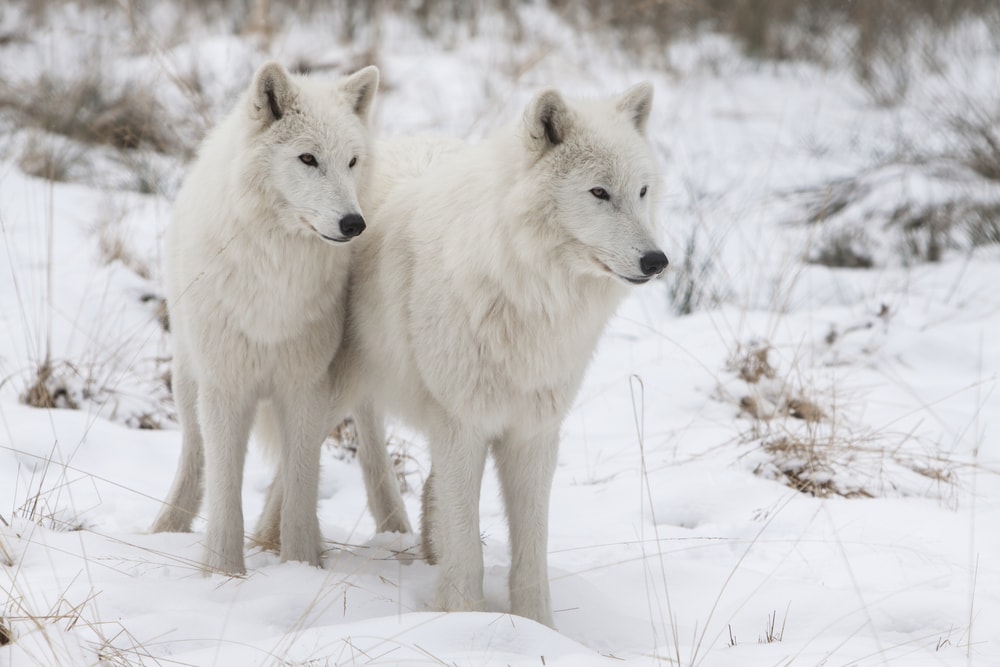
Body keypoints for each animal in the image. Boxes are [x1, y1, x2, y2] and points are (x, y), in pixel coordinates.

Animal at [149, 61, 380, 576]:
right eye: (308, 159)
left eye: (352, 162)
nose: (354, 224)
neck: (277, 278)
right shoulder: (226, 387)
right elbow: (225, 491)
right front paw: (223, 572)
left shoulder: (306, 386)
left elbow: (299, 488)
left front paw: (300, 566)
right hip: (189, 380)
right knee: (193, 458)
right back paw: (165, 528)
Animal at [262, 82, 668, 626]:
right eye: (599, 193)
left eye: (642, 192)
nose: (657, 260)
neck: (525, 293)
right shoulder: (462, 426)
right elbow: (467, 547)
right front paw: (464, 618)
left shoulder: (534, 434)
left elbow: (530, 556)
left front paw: (539, 628)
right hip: (332, 396)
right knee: (291, 466)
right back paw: (274, 550)